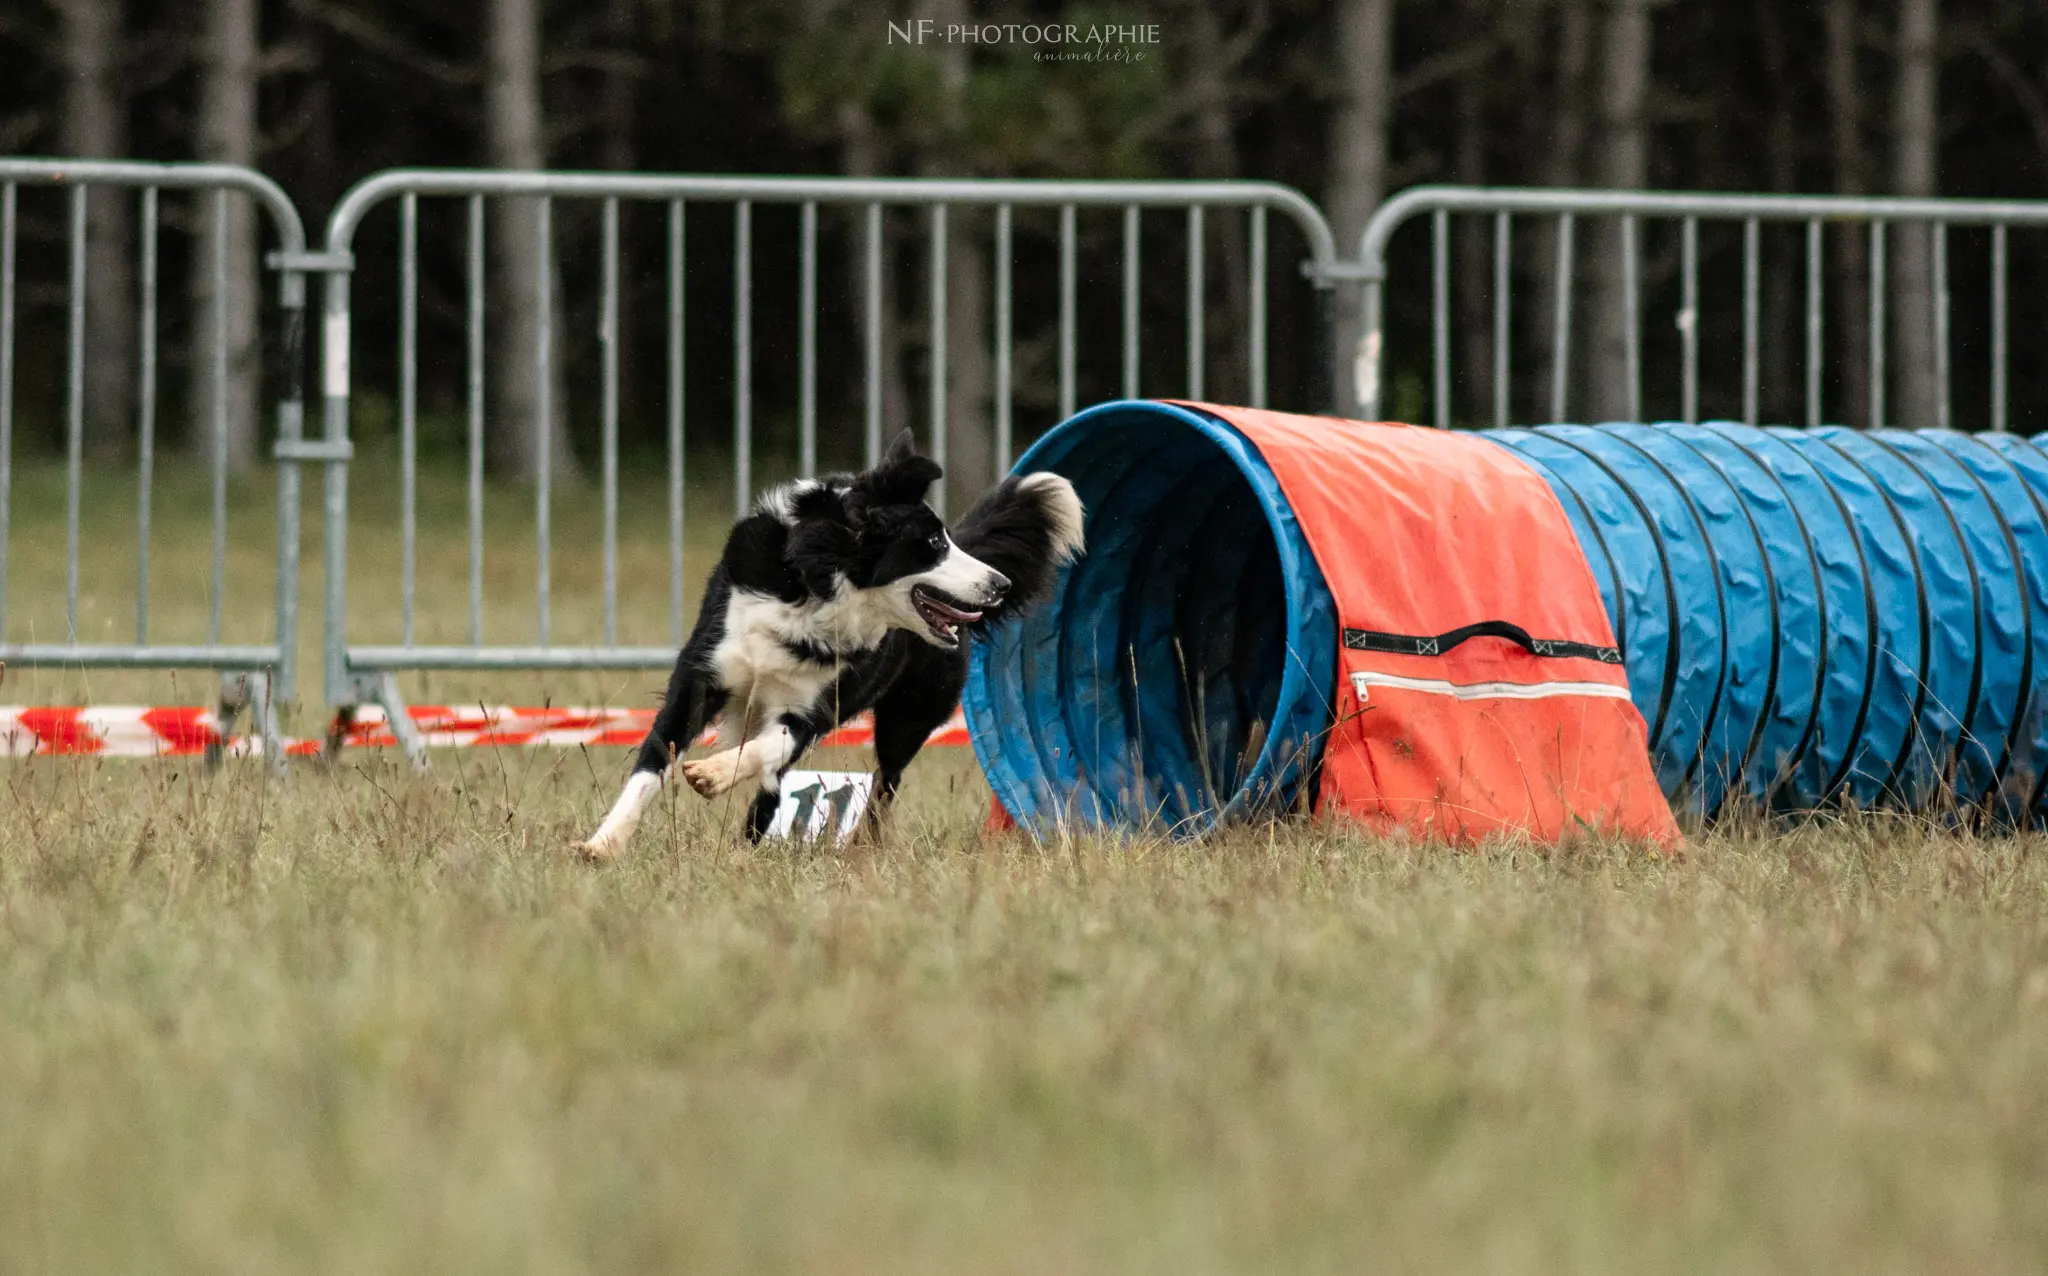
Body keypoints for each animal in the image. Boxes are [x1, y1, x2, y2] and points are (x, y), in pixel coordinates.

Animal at [577, 430, 1089, 860]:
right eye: (932, 543)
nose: (1000, 584)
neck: (815, 588)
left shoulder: (813, 709)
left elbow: (767, 748)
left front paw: (713, 773)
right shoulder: (702, 675)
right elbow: (654, 760)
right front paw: (602, 844)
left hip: (908, 718)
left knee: (881, 785)